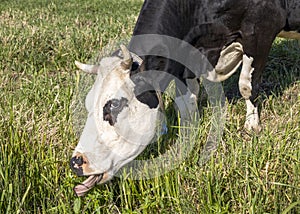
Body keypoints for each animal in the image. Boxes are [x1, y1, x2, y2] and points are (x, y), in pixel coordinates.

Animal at [71, 0, 300, 196]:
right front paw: (188, 136)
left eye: (114, 105)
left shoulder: (261, 28)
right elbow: (186, 99)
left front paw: (252, 126)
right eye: (88, 103)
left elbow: (246, 86)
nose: (76, 162)